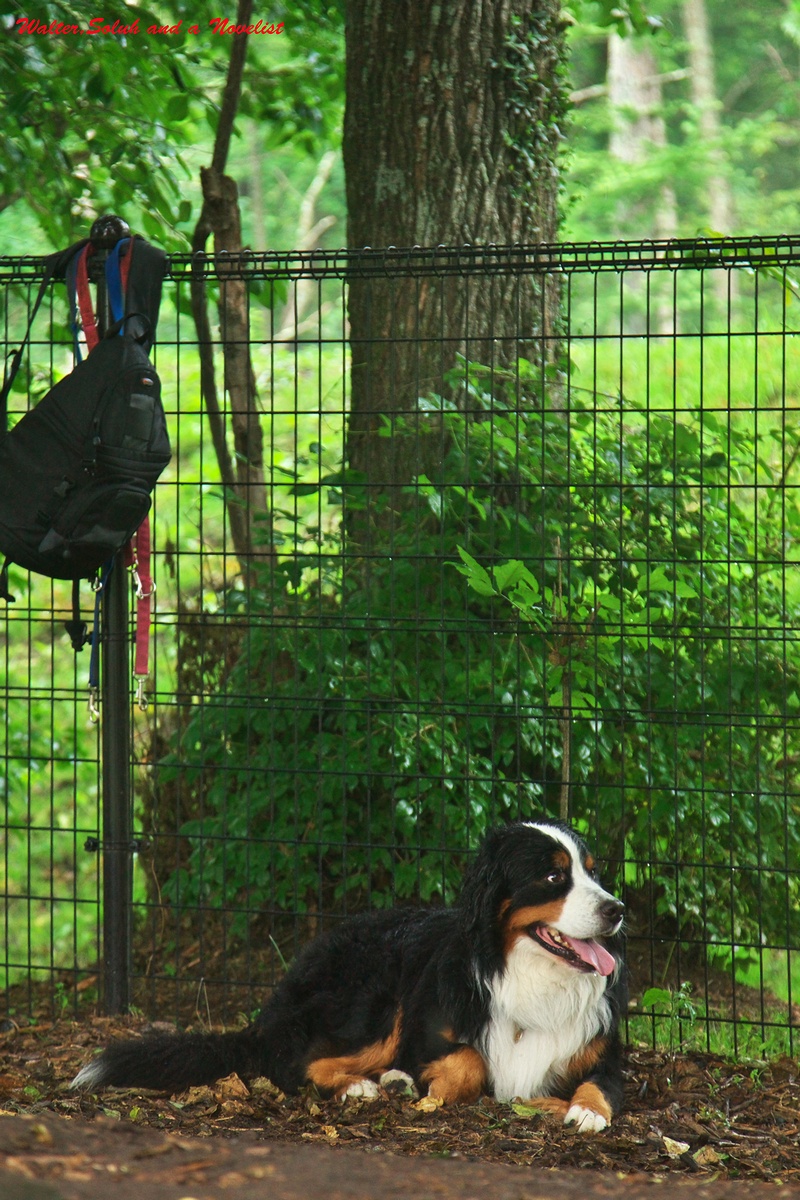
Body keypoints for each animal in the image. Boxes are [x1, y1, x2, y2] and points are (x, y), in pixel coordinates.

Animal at [71, 820, 628, 1128]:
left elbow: (600, 1086)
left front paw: (585, 1111)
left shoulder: (604, 1057)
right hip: (377, 995)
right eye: (554, 876)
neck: (530, 977)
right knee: (297, 1062)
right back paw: (363, 1086)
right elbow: (469, 1060)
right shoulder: (430, 1028)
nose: (617, 909)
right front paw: (441, 1092)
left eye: (593, 870)